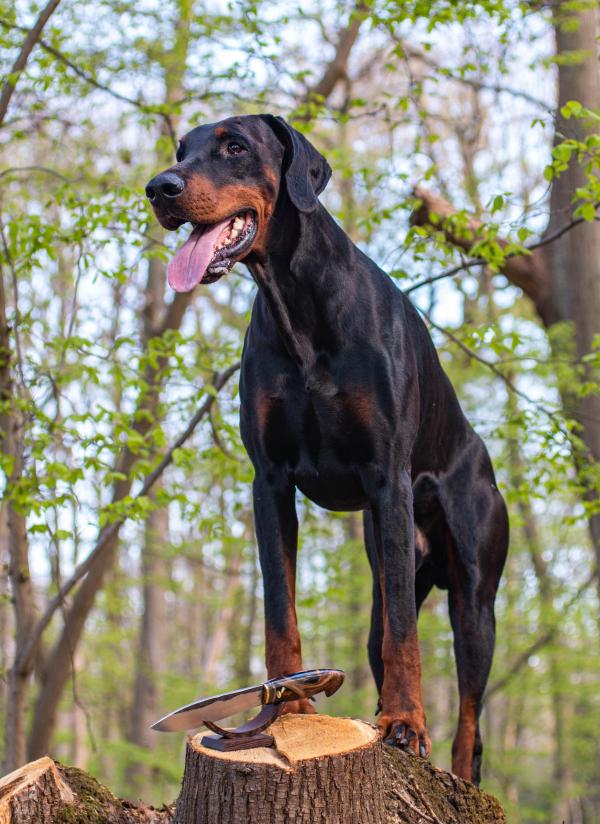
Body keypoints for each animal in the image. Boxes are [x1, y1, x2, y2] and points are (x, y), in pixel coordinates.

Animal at [148, 112, 508, 784]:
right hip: (387, 573)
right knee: (383, 633)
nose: (161, 187)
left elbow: (407, 640)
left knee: (470, 712)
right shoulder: (269, 481)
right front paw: (287, 709)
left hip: (474, 596)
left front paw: (404, 724)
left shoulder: (387, 476)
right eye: (182, 150)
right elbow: (279, 608)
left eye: (235, 146)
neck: (297, 298)